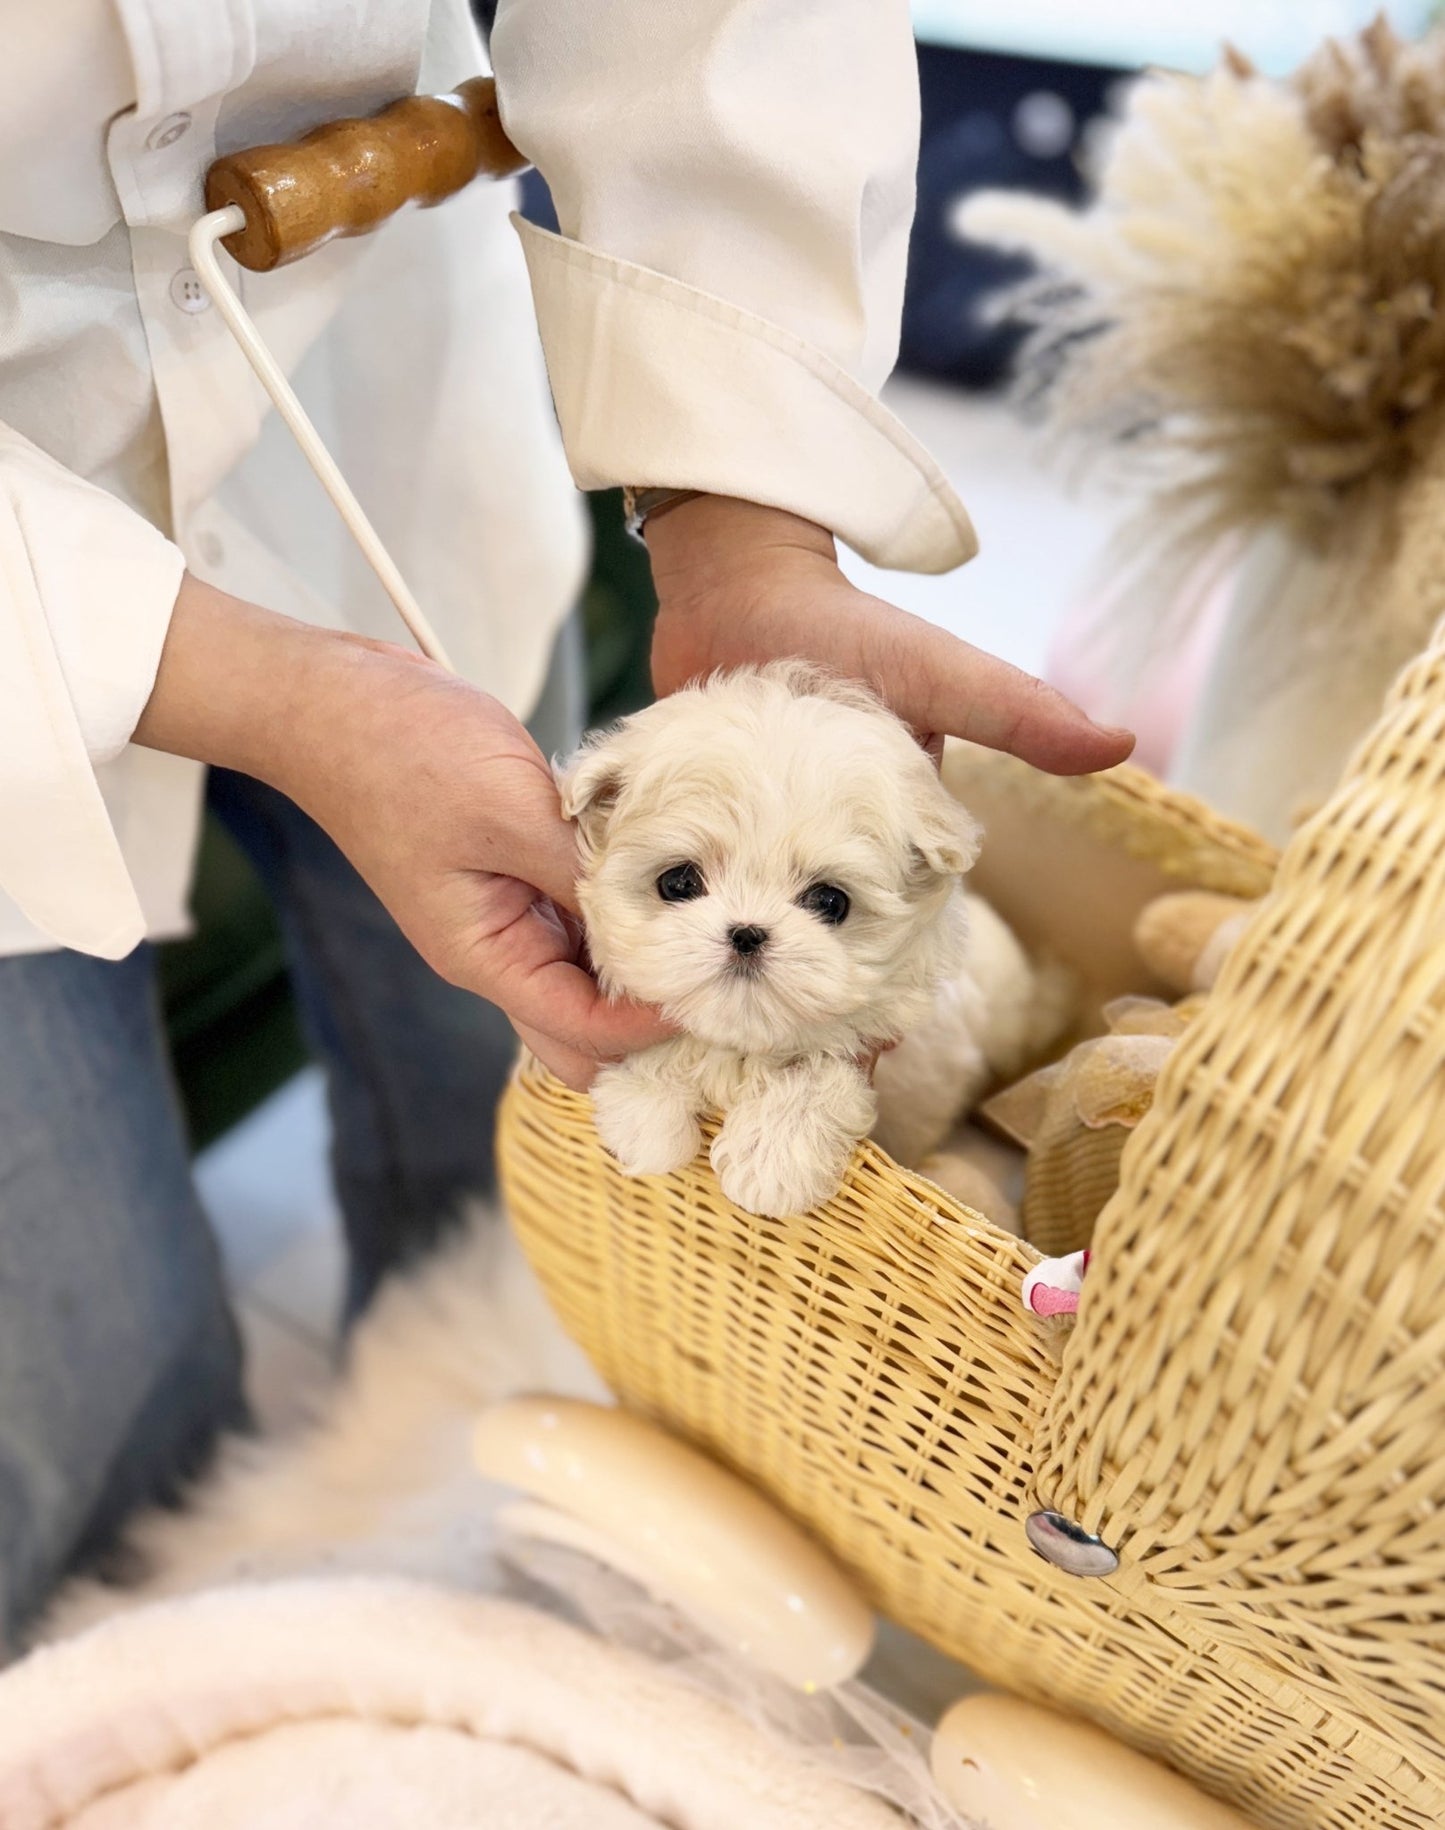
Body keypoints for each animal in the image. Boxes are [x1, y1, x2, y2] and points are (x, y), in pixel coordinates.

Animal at [556, 666, 987, 1222]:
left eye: (830, 901)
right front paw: (648, 1123)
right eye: (679, 882)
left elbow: (819, 1071)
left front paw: (771, 1160)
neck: (742, 1045)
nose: (746, 933)